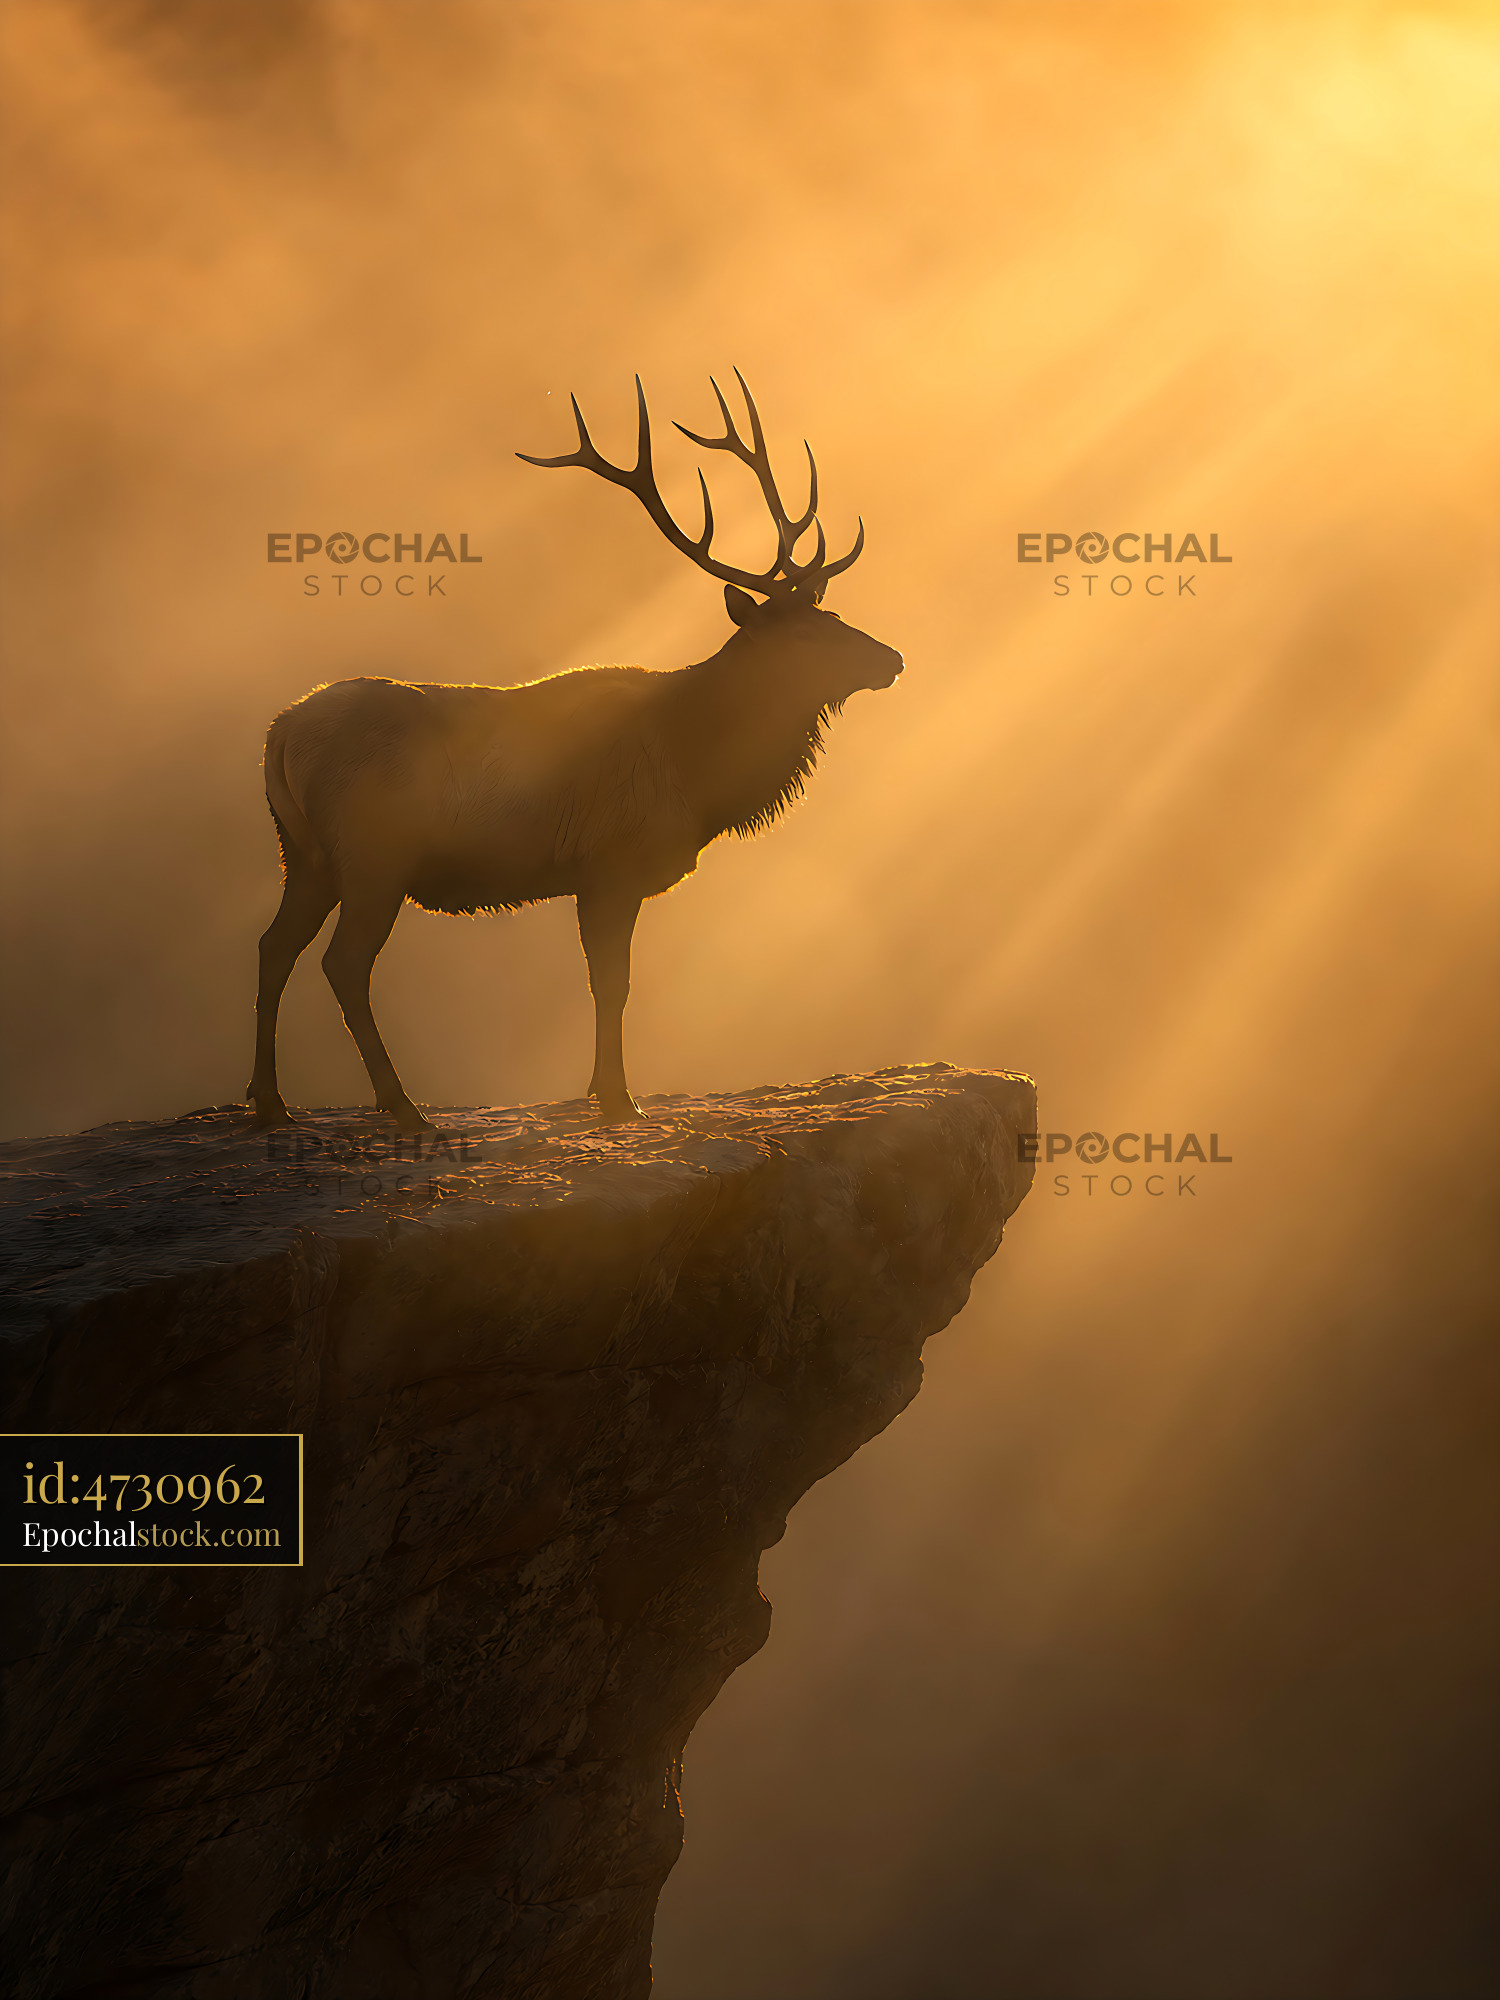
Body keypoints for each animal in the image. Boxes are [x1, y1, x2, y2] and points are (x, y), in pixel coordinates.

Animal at [246, 372, 904, 1132]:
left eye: (833, 615)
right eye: (805, 634)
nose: (892, 658)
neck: (698, 770)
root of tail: (279, 733)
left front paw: (599, 1090)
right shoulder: (610, 862)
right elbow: (612, 983)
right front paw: (619, 1099)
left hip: (305, 855)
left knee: (273, 946)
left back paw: (270, 1101)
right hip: (373, 854)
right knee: (344, 964)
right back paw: (401, 1105)